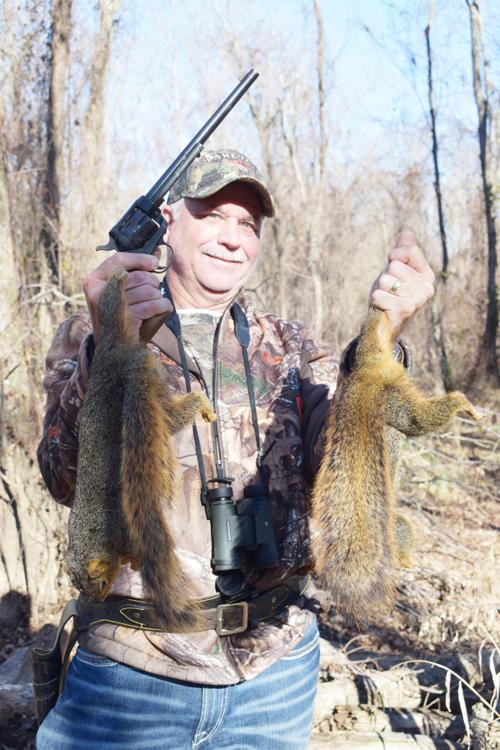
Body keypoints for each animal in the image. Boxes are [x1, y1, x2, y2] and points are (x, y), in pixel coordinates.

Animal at [67, 269, 215, 630]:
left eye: (99, 581)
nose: (96, 602)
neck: (90, 533)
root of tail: (111, 355)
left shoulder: (121, 530)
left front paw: (134, 560)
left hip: (154, 386)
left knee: (177, 414)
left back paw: (201, 403)